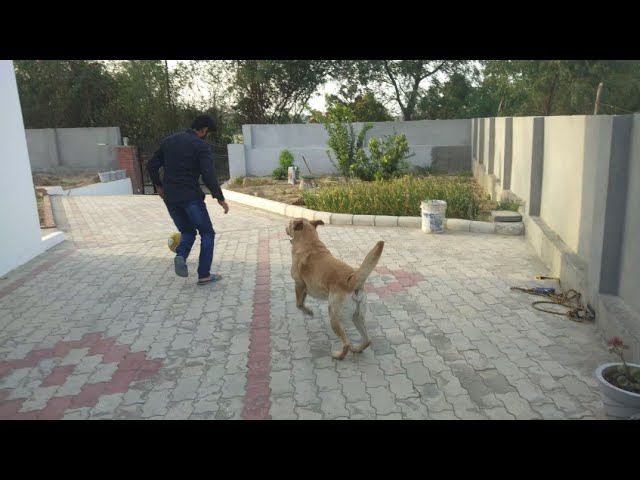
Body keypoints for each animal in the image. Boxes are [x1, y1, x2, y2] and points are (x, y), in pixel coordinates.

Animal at [285, 217, 384, 360]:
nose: (285, 228)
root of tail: (351, 281)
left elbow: (299, 304)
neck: (310, 243)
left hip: (333, 316)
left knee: (346, 343)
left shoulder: (299, 284)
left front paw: (308, 311)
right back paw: (357, 349)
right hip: (357, 317)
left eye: (289, 224)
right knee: (367, 339)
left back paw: (339, 355)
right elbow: (301, 301)